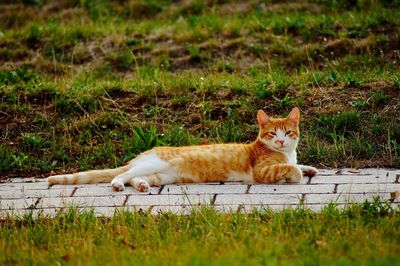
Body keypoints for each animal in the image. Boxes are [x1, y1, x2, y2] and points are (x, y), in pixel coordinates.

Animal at [47, 107, 318, 192]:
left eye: (288, 133)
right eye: (272, 134)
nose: (281, 141)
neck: (285, 153)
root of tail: (140, 156)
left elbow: (297, 164)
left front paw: (309, 168)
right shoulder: (262, 171)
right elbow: (290, 169)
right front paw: (295, 175)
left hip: (160, 175)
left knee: (136, 179)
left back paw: (141, 186)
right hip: (153, 163)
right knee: (123, 174)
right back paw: (116, 184)